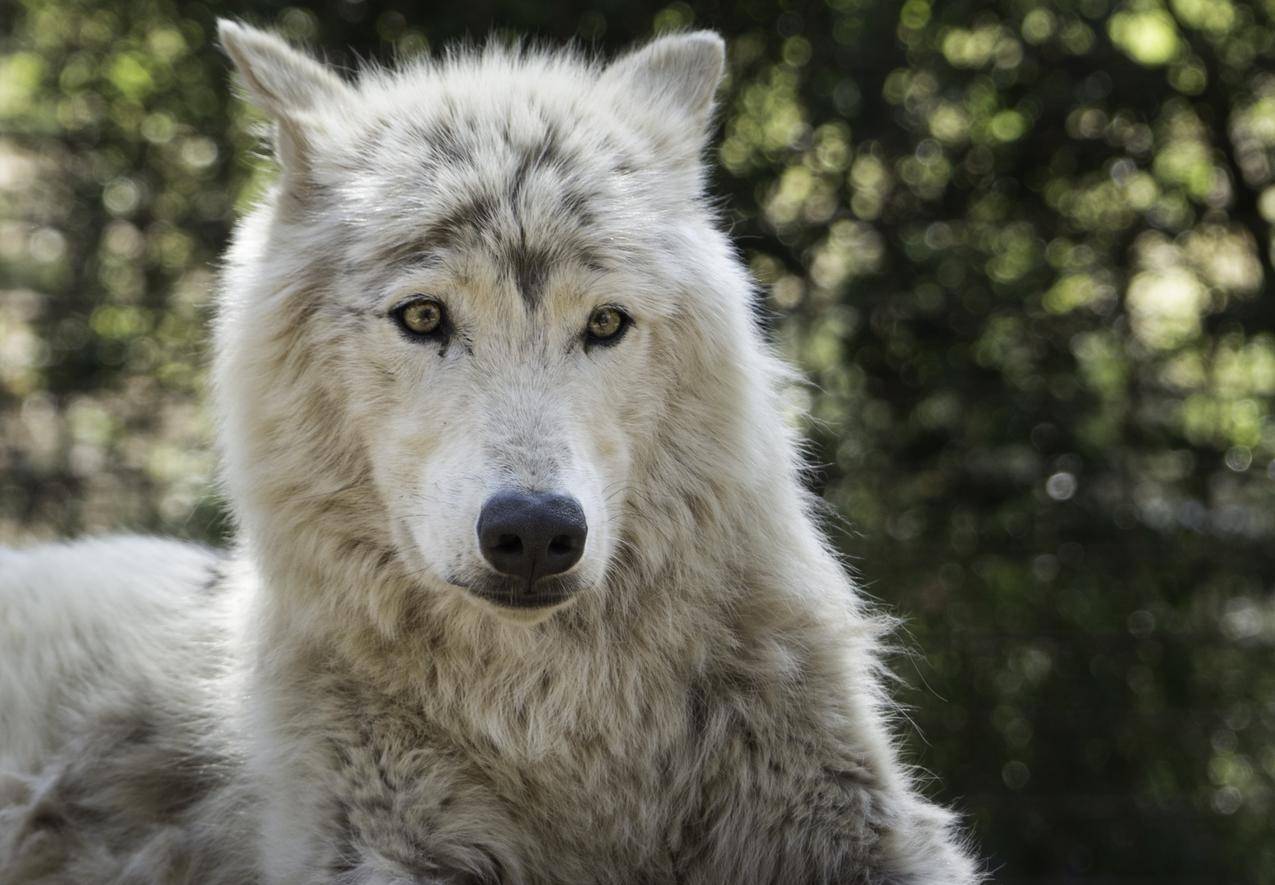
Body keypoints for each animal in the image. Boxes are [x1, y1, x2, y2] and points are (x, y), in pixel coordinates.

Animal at [0, 20, 979, 885]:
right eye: (423, 316)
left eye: (605, 324)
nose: (535, 532)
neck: (553, 719)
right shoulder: (378, 848)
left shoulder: (868, 821)